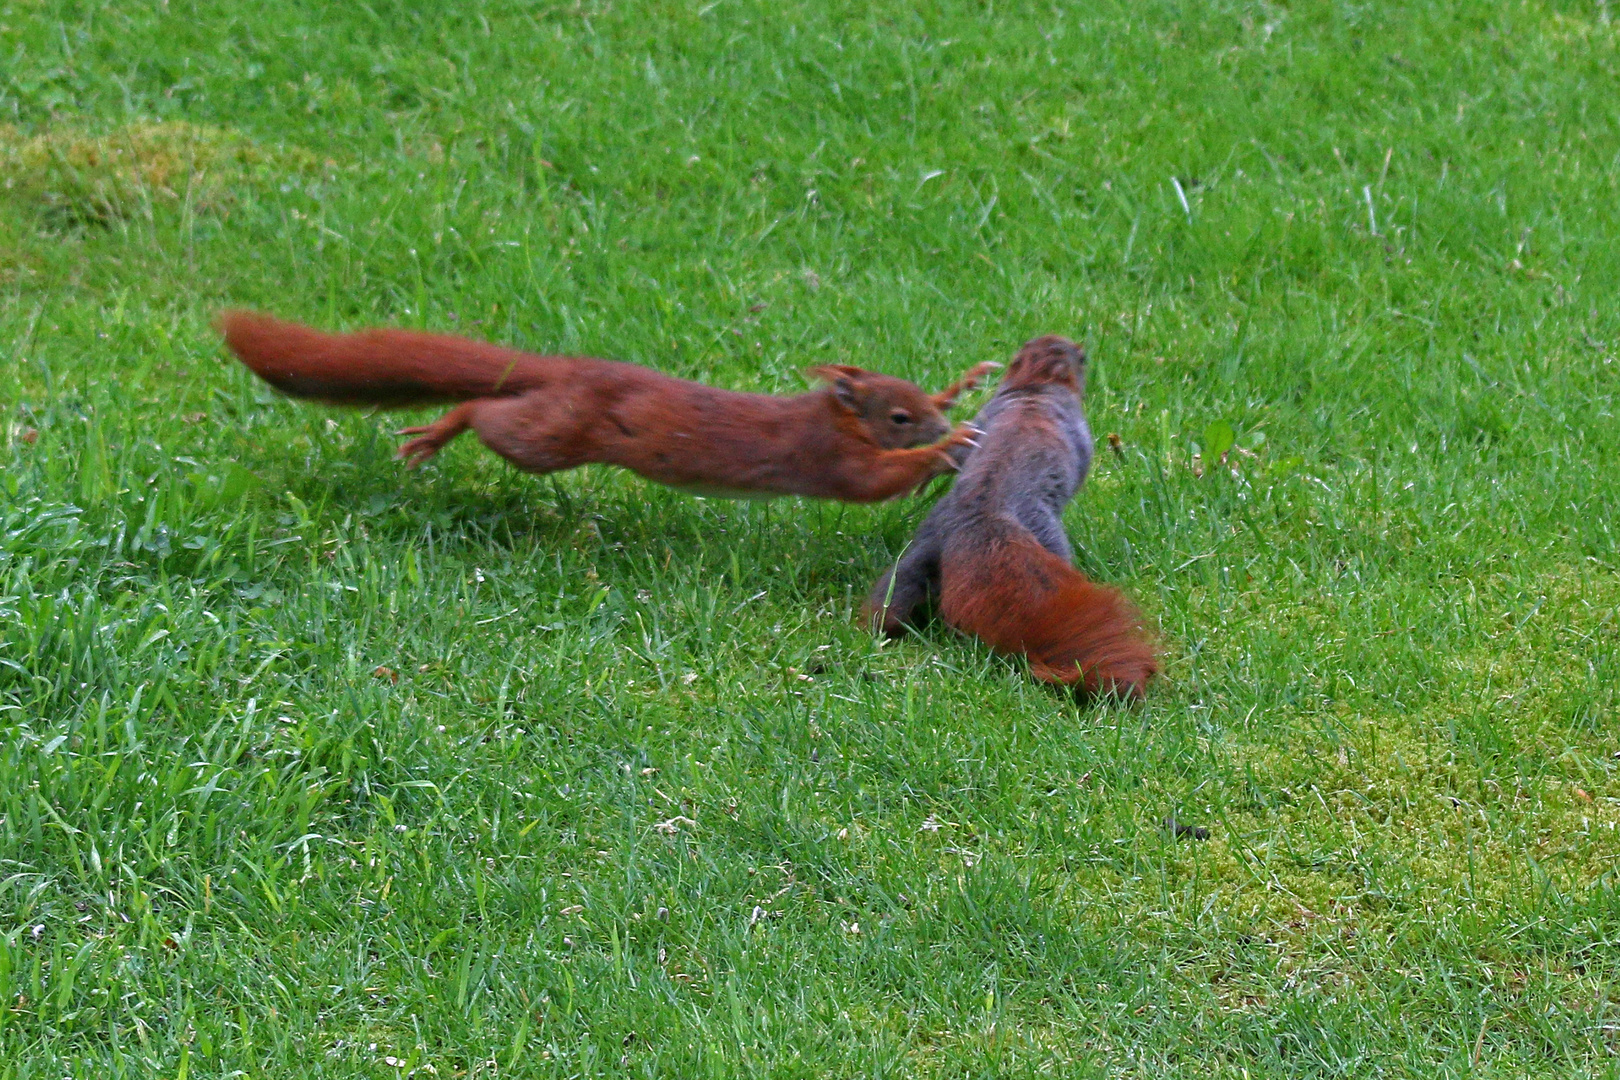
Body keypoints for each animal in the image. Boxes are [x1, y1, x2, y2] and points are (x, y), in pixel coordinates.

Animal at [868, 333, 1159, 696]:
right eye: (1081, 358)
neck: (1034, 386)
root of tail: (981, 514)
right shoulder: (1078, 432)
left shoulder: (983, 416)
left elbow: (957, 450)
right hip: (1046, 534)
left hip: (922, 546)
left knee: (896, 592)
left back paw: (885, 627)